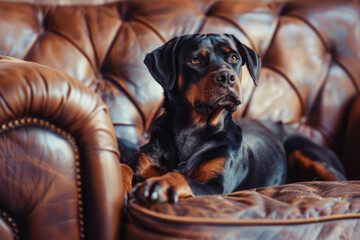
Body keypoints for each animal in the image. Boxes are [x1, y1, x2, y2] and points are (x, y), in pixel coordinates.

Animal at [124, 32, 346, 203]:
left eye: (233, 58)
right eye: (194, 60)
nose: (227, 77)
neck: (192, 130)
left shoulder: (218, 186)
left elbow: (180, 177)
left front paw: (160, 184)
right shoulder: (143, 162)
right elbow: (124, 167)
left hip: (304, 150)